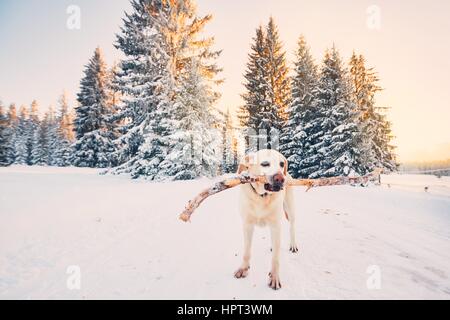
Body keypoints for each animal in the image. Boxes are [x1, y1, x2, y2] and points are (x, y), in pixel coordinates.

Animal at [234, 149, 298, 290]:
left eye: (281, 164)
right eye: (264, 164)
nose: (280, 178)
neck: (261, 197)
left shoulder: (276, 226)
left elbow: (275, 259)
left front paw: (274, 277)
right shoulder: (247, 225)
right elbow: (246, 252)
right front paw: (243, 268)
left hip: (290, 210)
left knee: (292, 228)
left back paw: (293, 245)